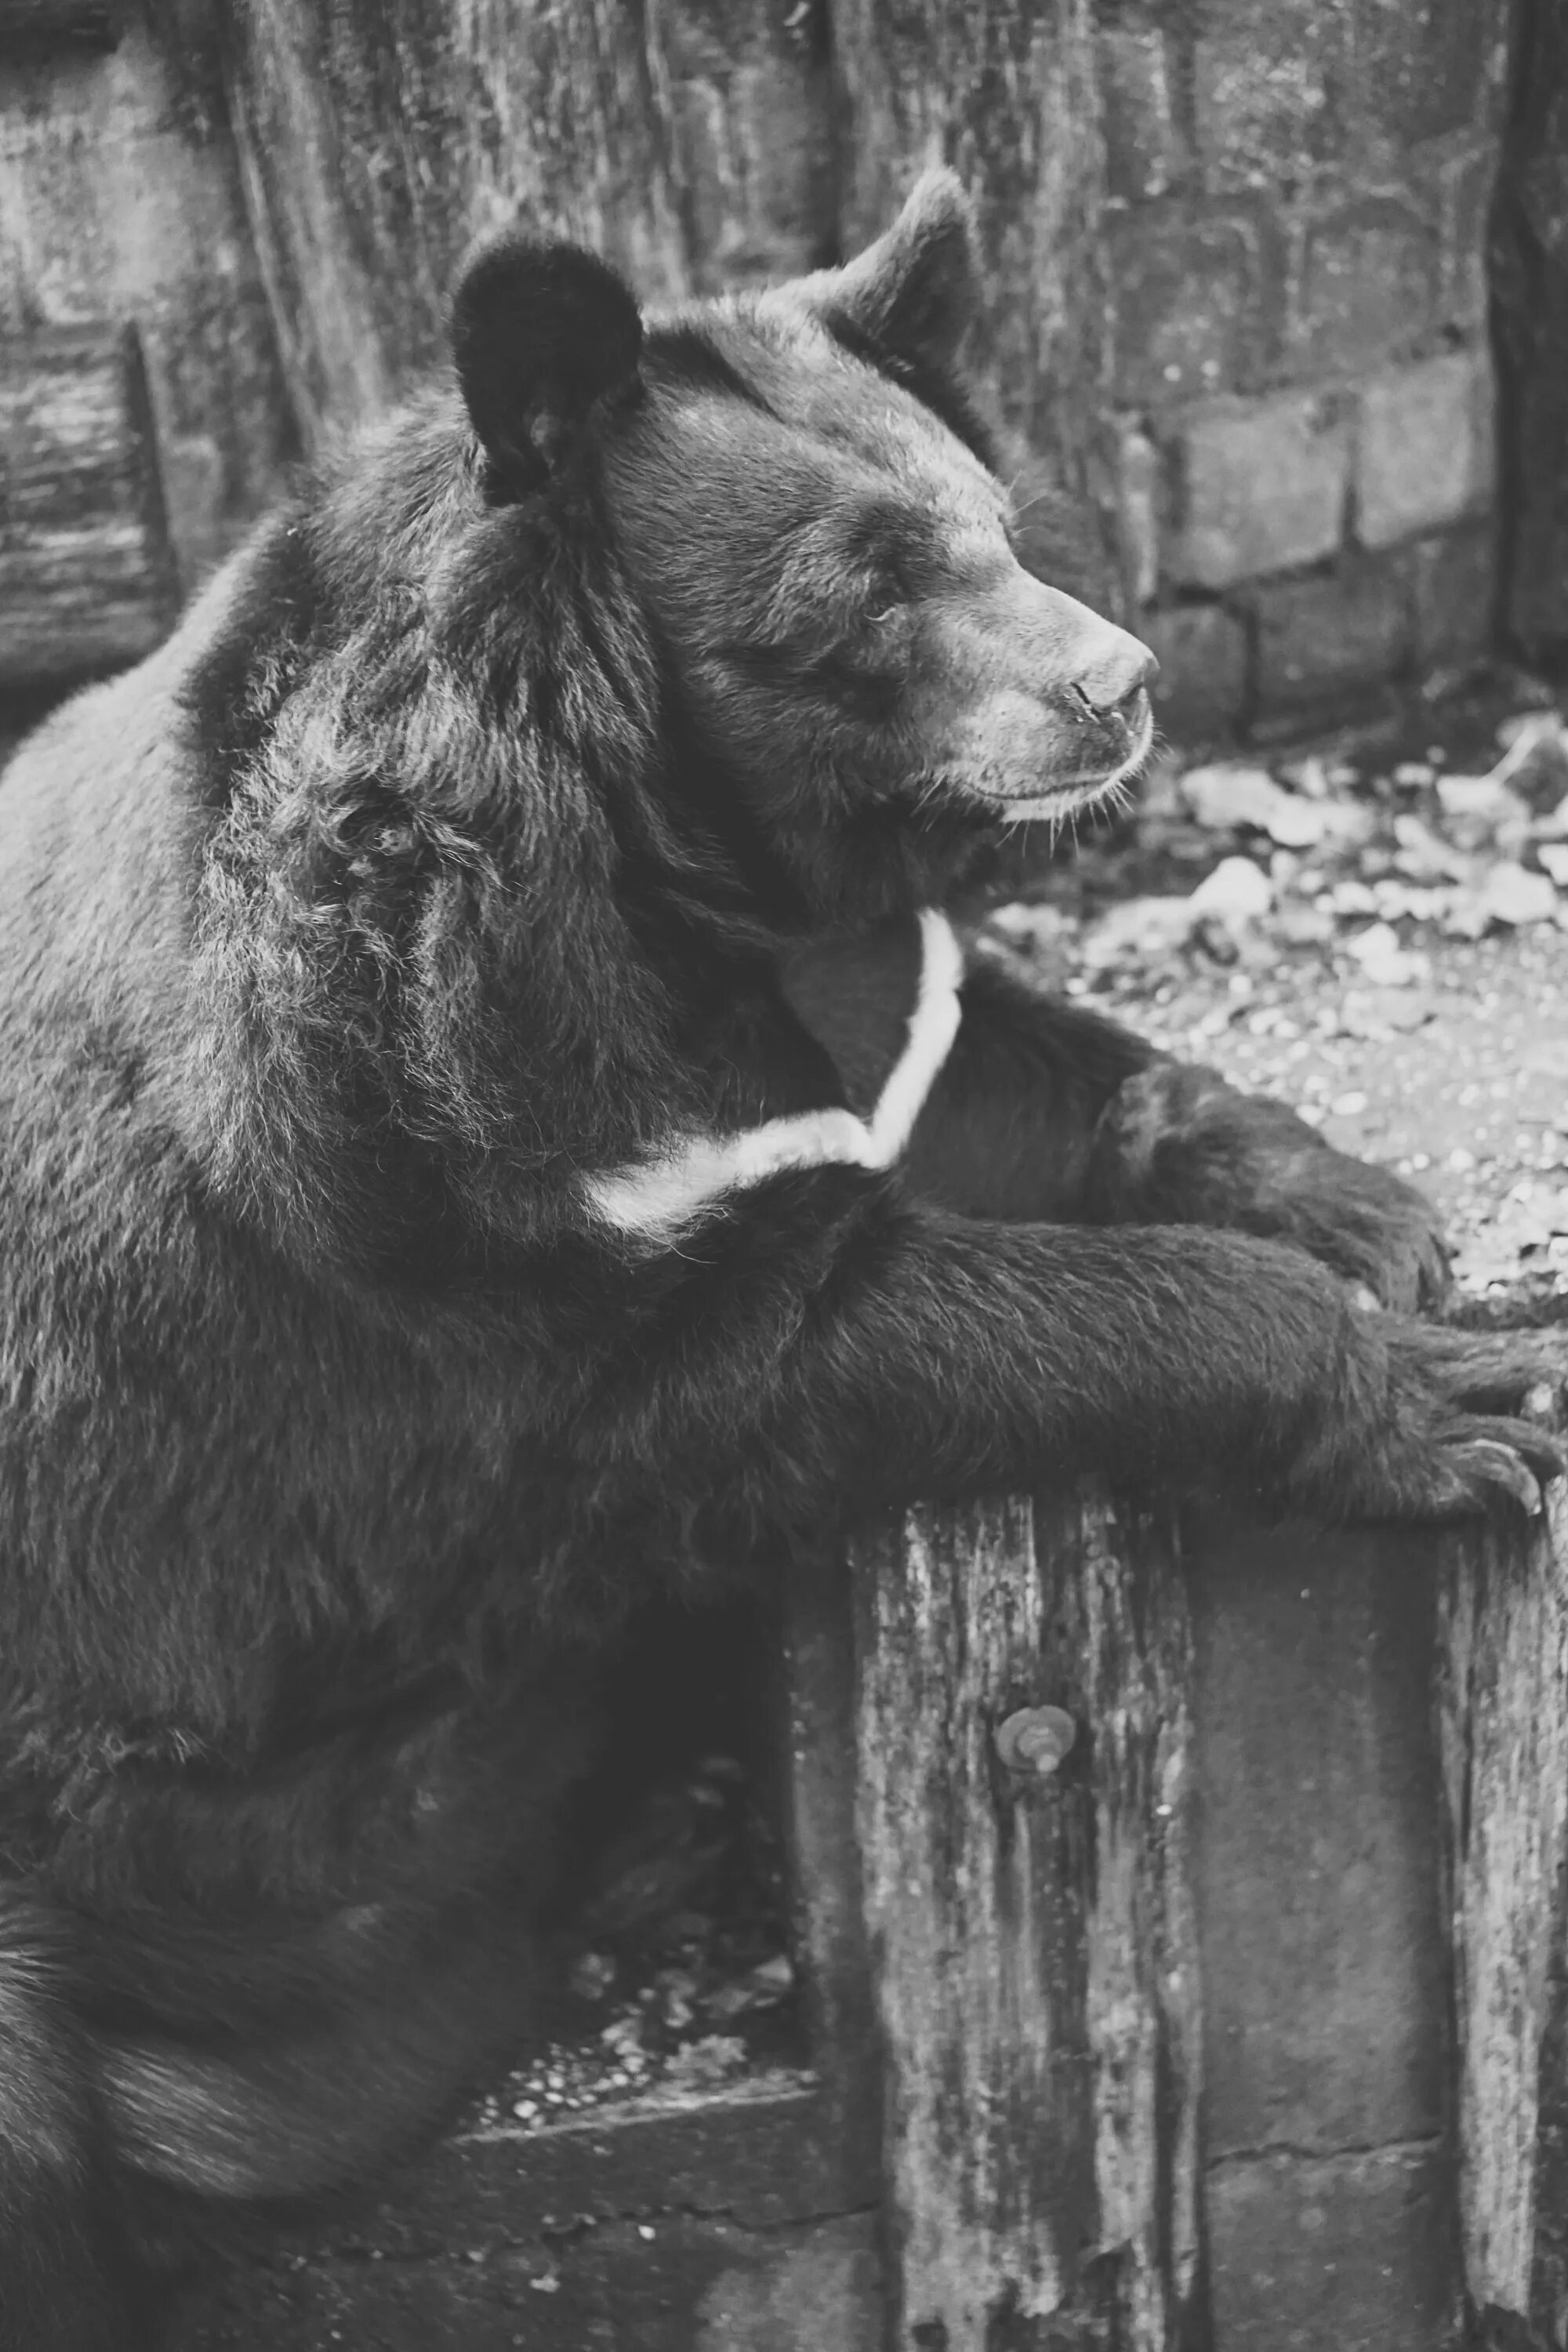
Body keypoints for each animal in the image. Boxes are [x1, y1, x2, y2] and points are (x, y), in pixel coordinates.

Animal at [0, 161, 1561, 2333]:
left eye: (996, 525)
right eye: (868, 584)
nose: (1120, 687)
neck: (685, 859)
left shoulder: (846, 996)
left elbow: (1008, 1060)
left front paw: (1369, 1215)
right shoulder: (463, 1177)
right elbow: (805, 1348)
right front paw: (1445, 1396)